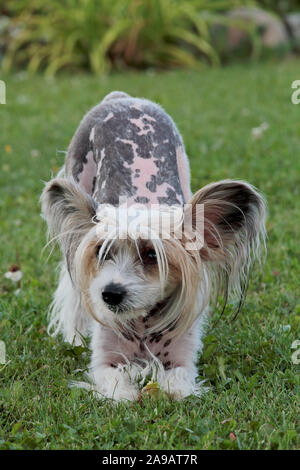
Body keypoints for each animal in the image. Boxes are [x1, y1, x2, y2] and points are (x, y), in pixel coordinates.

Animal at [41, 91, 266, 400]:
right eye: (101, 252)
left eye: (151, 255)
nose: (110, 294)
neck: (142, 323)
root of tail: (123, 98)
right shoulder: (105, 362)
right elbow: (119, 388)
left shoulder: (182, 363)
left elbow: (174, 385)